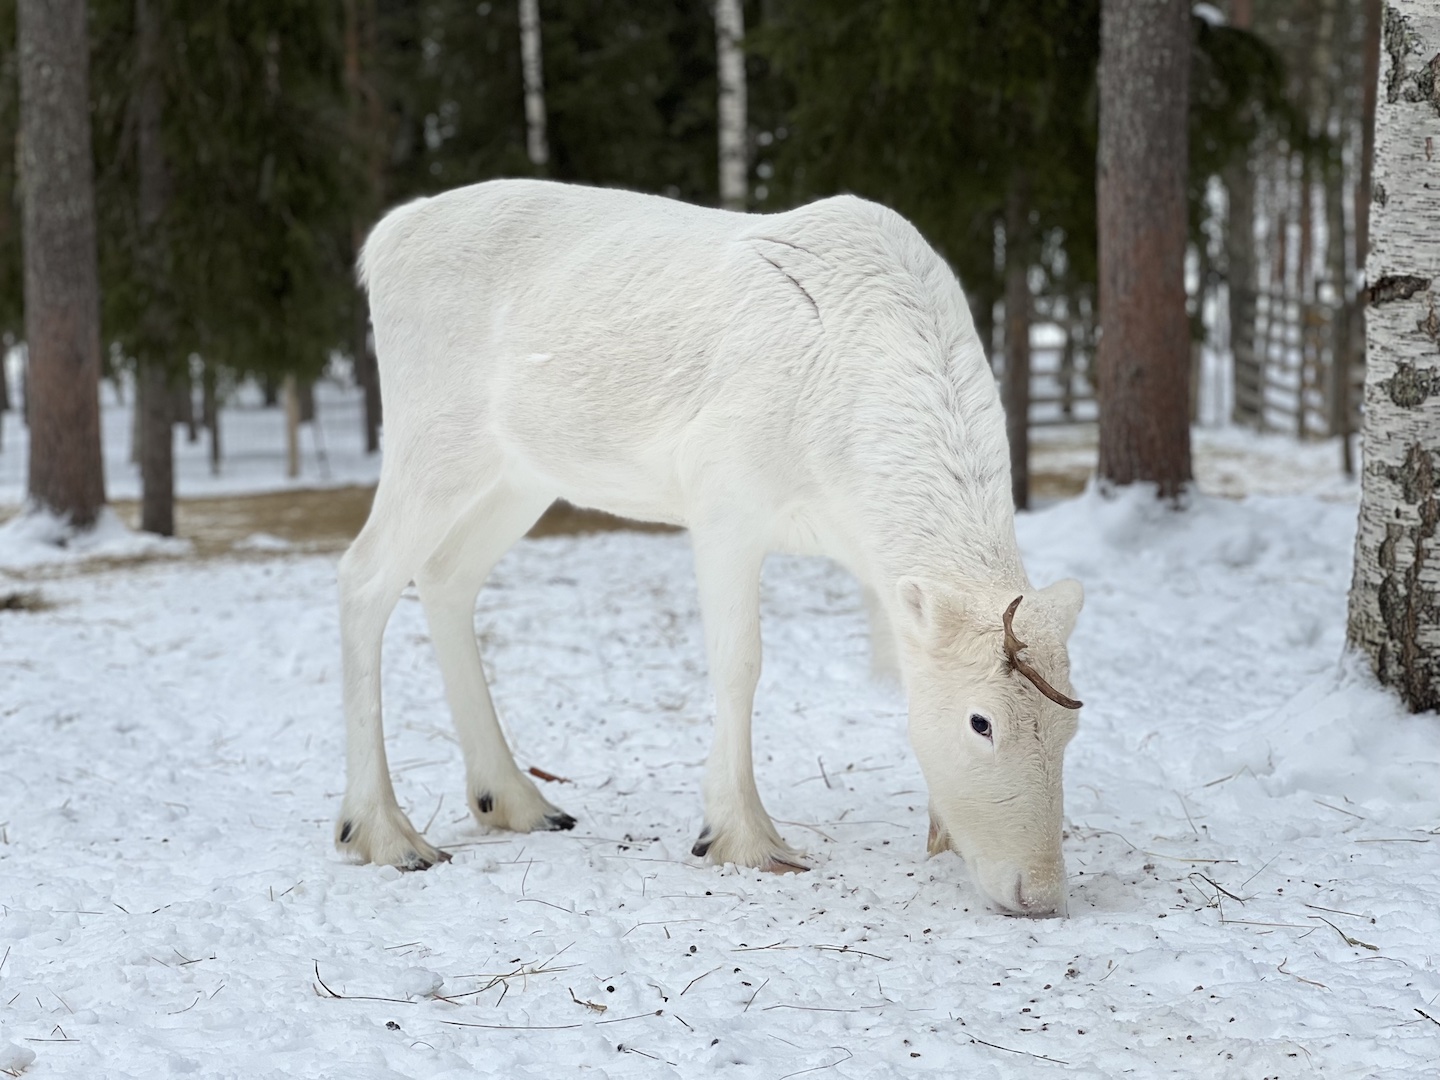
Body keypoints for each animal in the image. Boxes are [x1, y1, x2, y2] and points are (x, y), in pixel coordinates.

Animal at [335, 179, 1084, 916]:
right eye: (981, 722)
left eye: (1070, 723)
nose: (1040, 893)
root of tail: (384, 239)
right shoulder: (723, 500)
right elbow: (739, 664)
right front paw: (740, 836)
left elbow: (899, 670)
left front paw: (939, 832)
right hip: (433, 442)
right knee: (362, 577)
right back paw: (383, 832)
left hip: (519, 475)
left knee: (446, 575)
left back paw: (514, 799)